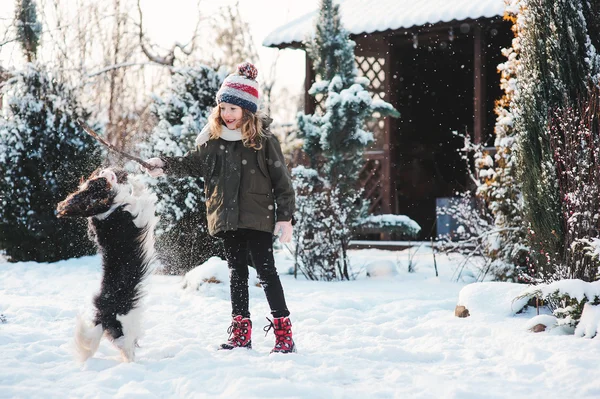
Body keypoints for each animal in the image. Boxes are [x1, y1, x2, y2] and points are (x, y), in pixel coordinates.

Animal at [56, 168, 157, 362]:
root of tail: (101, 318)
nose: (104, 169)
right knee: (126, 347)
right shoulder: (138, 215)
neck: (107, 209)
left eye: (96, 178)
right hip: (125, 324)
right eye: (99, 183)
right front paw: (137, 182)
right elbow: (141, 198)